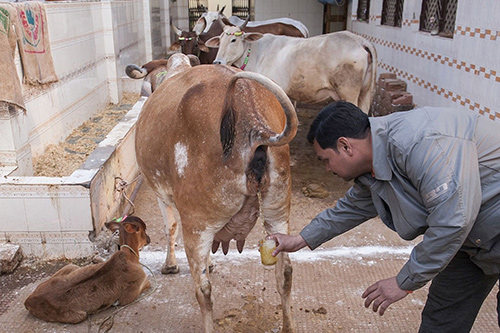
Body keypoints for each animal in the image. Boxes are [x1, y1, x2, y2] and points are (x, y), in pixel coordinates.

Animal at [23, 215, 151, 322]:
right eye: (144, 229)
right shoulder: (130, 293)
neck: (130, 256)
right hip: (79, 316)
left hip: (70, 266)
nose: (149, 239)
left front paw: (97, 259)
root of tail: (28, 301)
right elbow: (147, 284)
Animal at [135, 53, 296, 330]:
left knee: (204, 291)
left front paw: (170, 265)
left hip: (197, 223)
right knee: (285, 273)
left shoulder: (162, 195)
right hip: (278, 212)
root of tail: (252, 123)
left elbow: (170, 227)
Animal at [206, 24, 376, 113]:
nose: (217, 62)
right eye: (220, 39)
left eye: (233, 40)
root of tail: (359, 40)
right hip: (365, 93)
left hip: (349, 92)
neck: (256, 52)